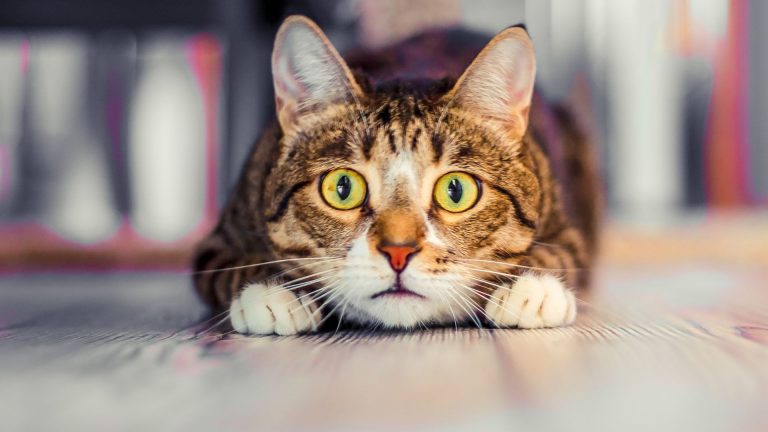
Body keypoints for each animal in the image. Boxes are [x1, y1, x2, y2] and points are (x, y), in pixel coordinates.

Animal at [192, 16, 600, 334]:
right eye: (343, 188)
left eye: (456, 191)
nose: (398, 252)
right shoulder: (220, 237)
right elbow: (232, 267)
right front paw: (274, 293)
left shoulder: (567, 226)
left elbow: (561, 254)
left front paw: (532, 290)